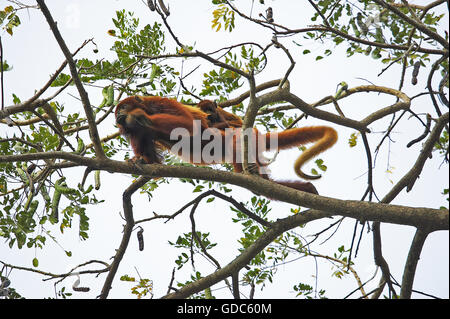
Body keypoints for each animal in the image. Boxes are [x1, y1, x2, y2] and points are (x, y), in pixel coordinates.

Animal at [116, 95, 338, 195]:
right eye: (117, 111)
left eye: (123, 107)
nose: (118, 116)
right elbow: (154, 162)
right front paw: (141, 160)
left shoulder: (159, 103)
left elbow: (188, 125)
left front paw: (140, 117)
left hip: (240, 137)